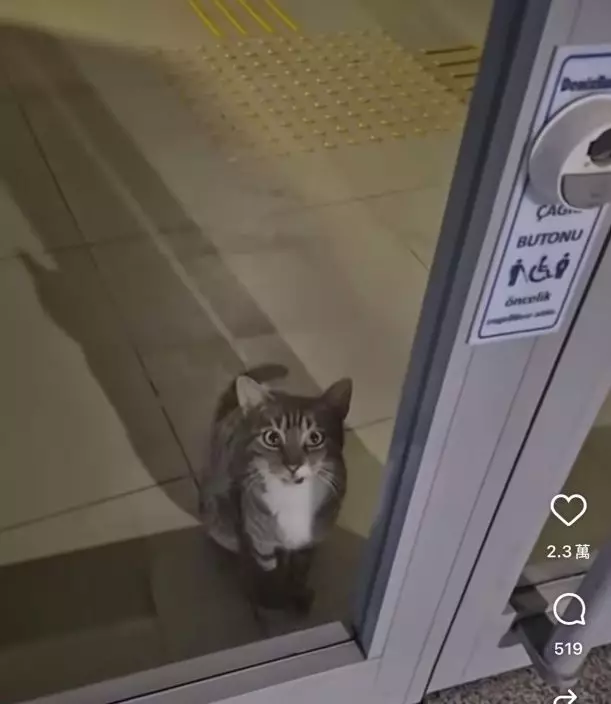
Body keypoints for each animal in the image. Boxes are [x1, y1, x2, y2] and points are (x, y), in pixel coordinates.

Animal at [200, 364, 352, 612]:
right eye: (272, 437)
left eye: (315, 437)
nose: (293, 465)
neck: (293, 497)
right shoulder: (261, 543)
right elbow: (267, 573)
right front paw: (270, 600)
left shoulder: (306, 544)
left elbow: (300, 572)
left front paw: (298, 593)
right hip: (219, 516)